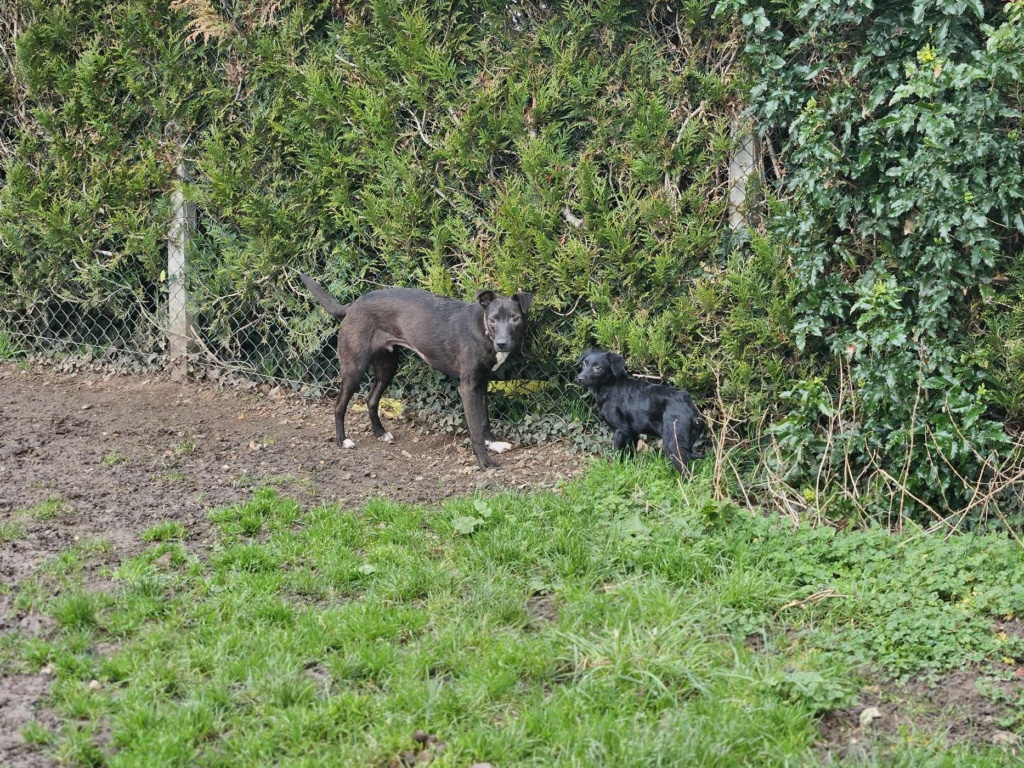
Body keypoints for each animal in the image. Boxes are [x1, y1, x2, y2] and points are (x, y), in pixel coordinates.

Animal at [299, 276, 532, 468]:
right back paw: (343, 440)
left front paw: (494, 444)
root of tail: (353, 304)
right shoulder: (468, 388)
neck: (482, 330)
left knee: (371, 399)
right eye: (493, 319)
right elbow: (474, 427)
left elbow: (484, 420)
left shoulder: (481, 384)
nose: (502, 344)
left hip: (387, 367)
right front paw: (485, 462)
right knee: (339, 405)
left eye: (515, 318)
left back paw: (380, 433)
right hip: (354, 368)